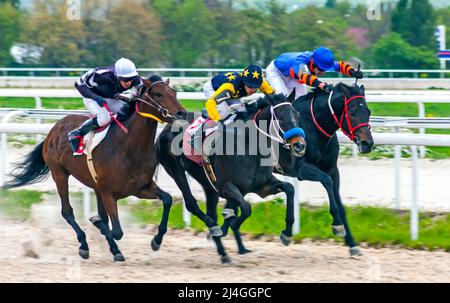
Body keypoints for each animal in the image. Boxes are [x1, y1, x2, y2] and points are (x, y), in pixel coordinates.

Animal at [2, 76, 185, 262]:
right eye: (158, 94)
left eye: (174, 92)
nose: (182, 114)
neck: (129, 147)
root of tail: (54, 129)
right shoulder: (108, 193)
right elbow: (115, 230)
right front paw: (97, 225)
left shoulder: (140, 188)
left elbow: (167, 199)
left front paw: (156, 240)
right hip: (59, 174)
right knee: (67, 211)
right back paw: (84, 245)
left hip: (94, 186)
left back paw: (113, 248)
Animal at [156, 92, 308, 264]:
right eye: (281, 118)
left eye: (297, 114)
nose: (300, 146)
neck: (249, 146)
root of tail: (168, 125)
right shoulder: (226, 187)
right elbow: (246, 209)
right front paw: (231, 226)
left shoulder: (262, 186)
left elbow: (290, 189)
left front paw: (287, 233)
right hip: (176, 170)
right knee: (191, 204)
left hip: (208, 184)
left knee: (212, 212)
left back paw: (224, 251)